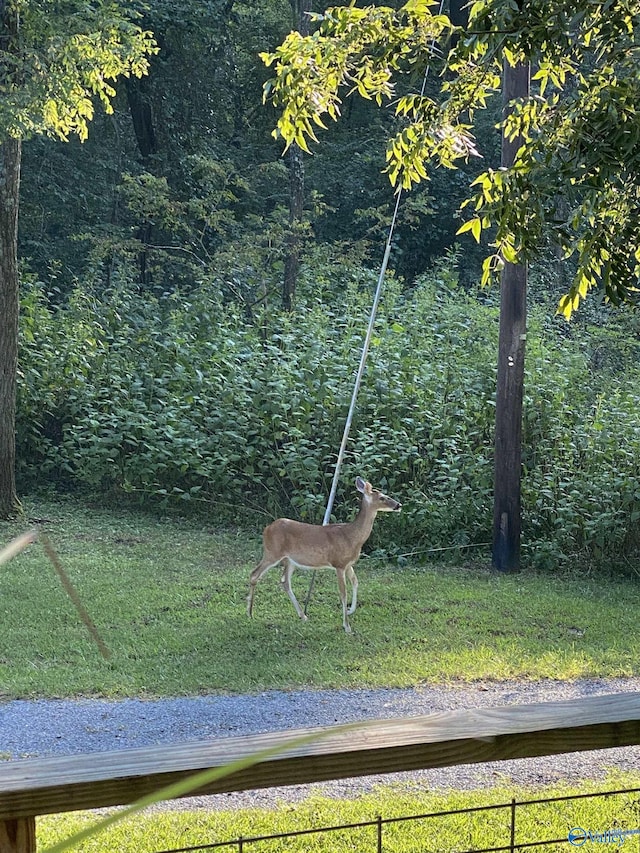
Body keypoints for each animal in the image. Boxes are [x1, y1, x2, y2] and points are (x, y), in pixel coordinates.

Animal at [245, 480, 400, 632]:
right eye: (382, 497)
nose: (399, 505)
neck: (352, 537)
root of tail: (266, 529)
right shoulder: (339, 564)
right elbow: (343, 593)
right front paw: (347, 626)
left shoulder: (348, 564)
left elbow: (355, 582)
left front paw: (350, 611)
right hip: (272, 552)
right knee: (254, 574)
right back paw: (250, 613)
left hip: (289, 560)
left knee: (285, 581)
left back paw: (303, 616)